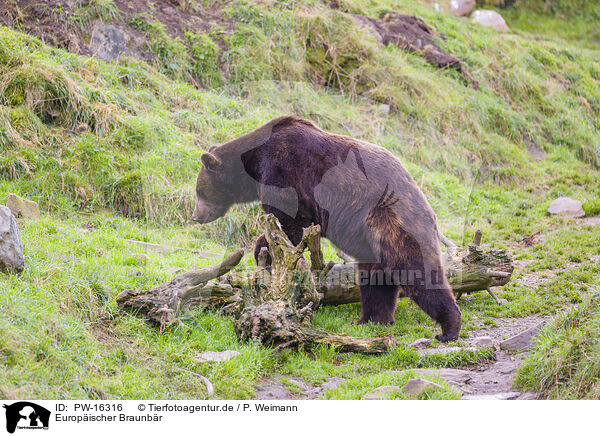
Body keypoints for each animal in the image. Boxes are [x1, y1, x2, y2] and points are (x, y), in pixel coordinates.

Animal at [192, 117, 460, 342]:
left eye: (199, 191)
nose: (196, 216)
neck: (254, 162)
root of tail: (428, 208)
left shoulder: (285, 169)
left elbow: (289, 222)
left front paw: (264, 251)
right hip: (370, 237)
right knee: (374, 276)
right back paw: (371, 319)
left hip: (393, 220)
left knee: (415, 268)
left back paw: (448, 327)